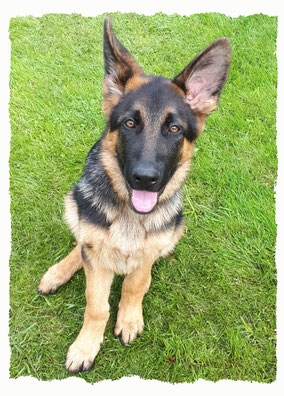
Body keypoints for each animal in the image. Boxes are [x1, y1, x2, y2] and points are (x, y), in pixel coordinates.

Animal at [37, 16, 231, 374]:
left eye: (174, 129)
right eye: (129, 123)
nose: (145, 178)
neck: (130, 214)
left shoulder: (146, 255)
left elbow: (134, 285)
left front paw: (128, 319)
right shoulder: (96, 262)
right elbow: (96, 304)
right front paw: (86, 346)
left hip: (176, 227)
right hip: (74, 203)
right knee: (81, 244)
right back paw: (58, 271)